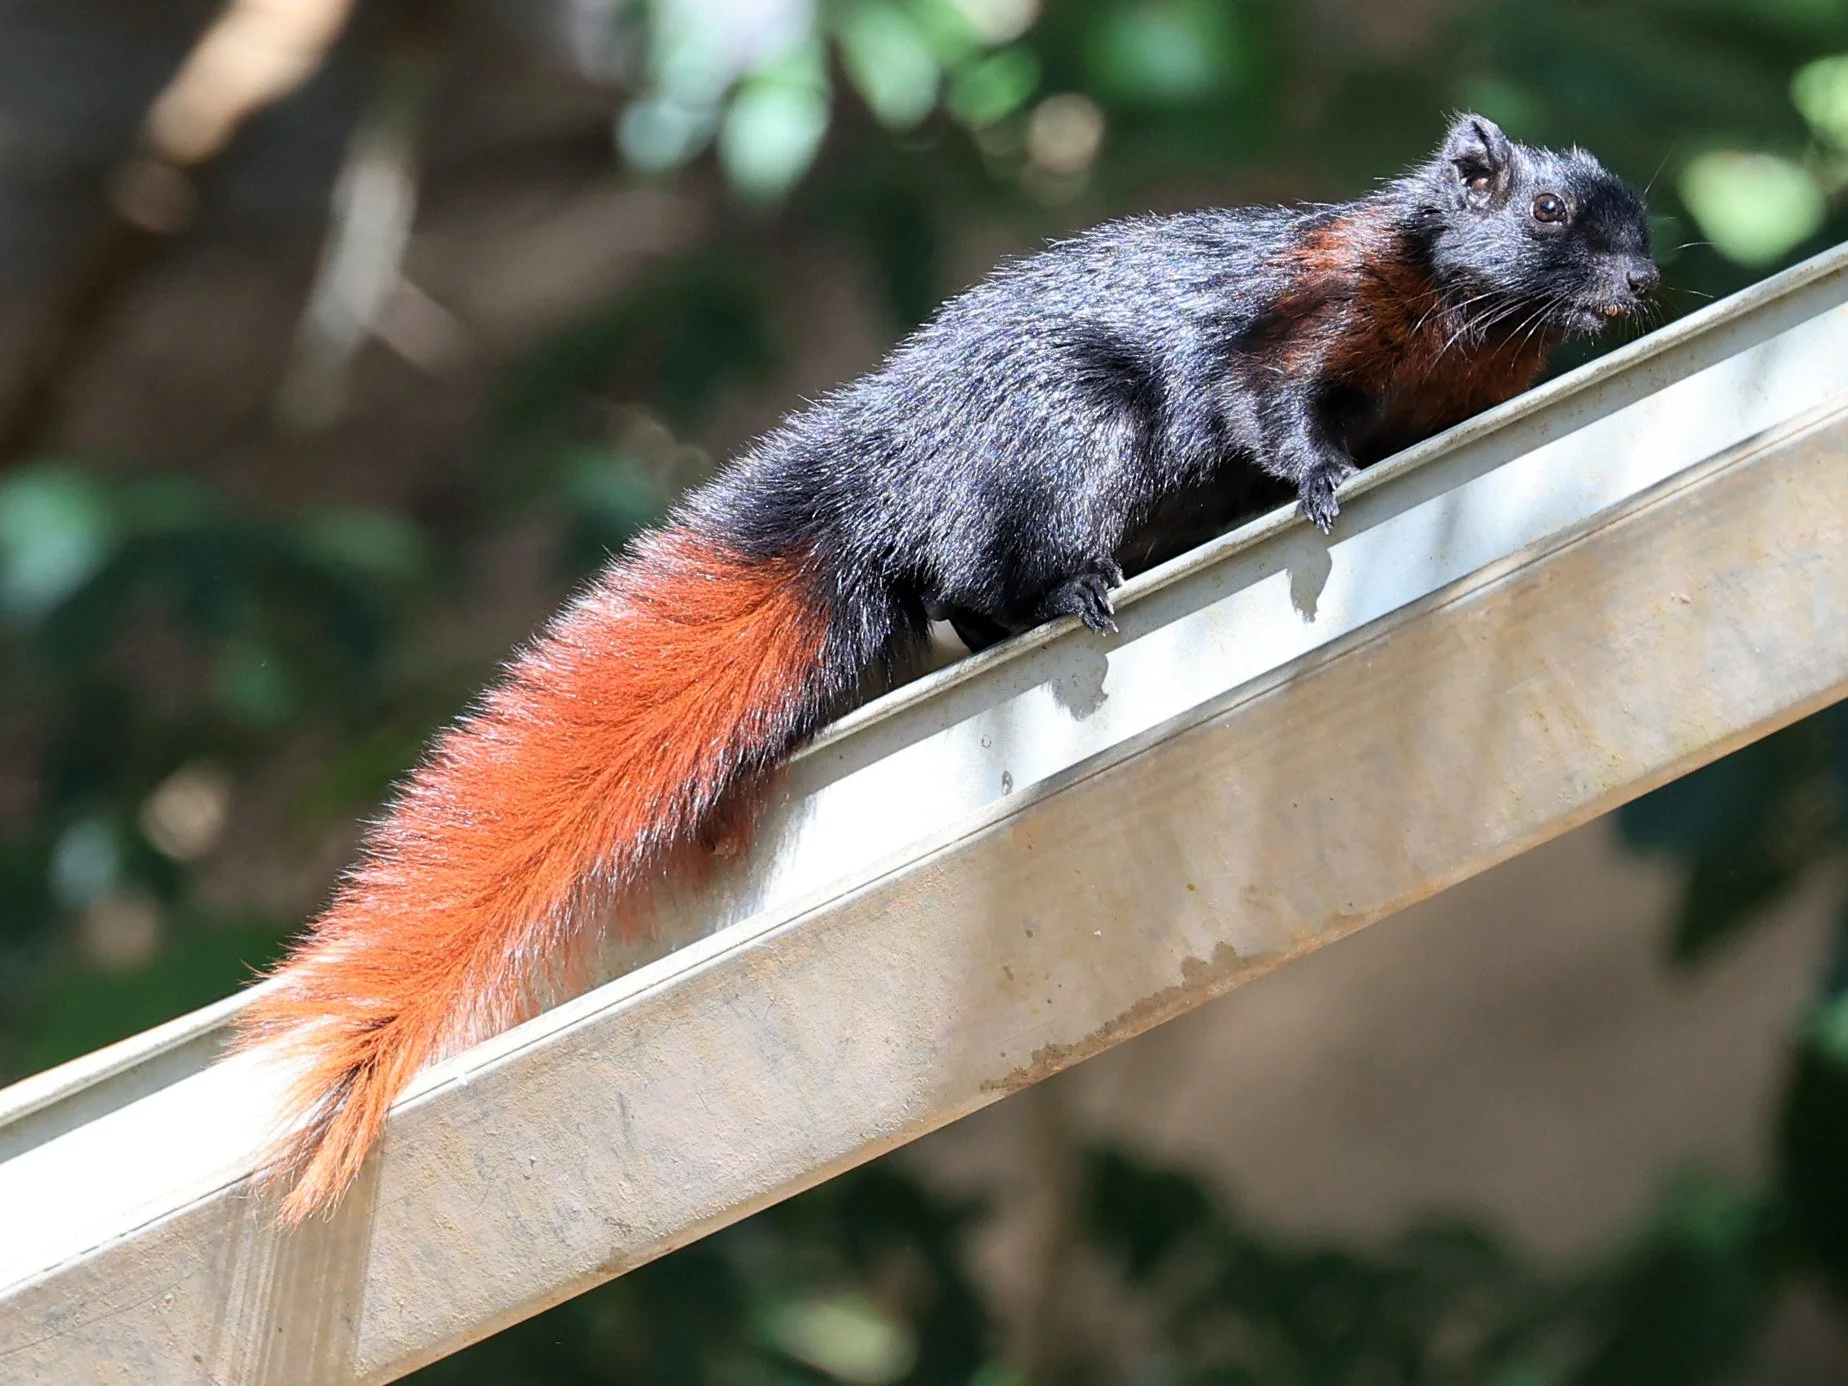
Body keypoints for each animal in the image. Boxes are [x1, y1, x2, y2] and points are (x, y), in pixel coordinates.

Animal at [244, 113, 1657, 1222]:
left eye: (1637, 211)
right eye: (1545, 210)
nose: (1642, 279)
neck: (1456, 335)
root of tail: (888, 463)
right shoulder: (1298, 332)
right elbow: (1279, 416)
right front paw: (1319, 486)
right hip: (1077, 437)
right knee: (979, 584)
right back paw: (1077, 594)